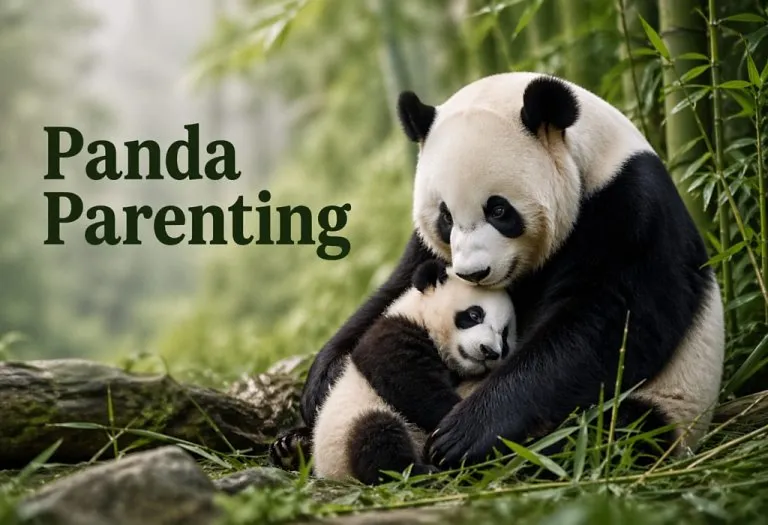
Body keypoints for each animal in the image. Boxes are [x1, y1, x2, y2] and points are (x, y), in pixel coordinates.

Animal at [274, 259, 516, 484]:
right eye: (475, 315)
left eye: (504, 336)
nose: (490, 351)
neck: (418, 313)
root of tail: (330, 473)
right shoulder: (390, 334)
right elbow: (410, 383)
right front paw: (457, 419)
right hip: (346, 433)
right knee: (377, 437)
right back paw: (419, 472)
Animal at [298, 72, 725, 469]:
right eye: (445, 217)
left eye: (499, 210)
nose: (473, 272)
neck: (593, 161)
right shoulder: (428, 250)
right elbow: (397, 290)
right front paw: (323, 380)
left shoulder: (632, 210)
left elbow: (610, 326)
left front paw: (466, 432)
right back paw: (292, 444)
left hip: (672, 400)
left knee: (610, 433)